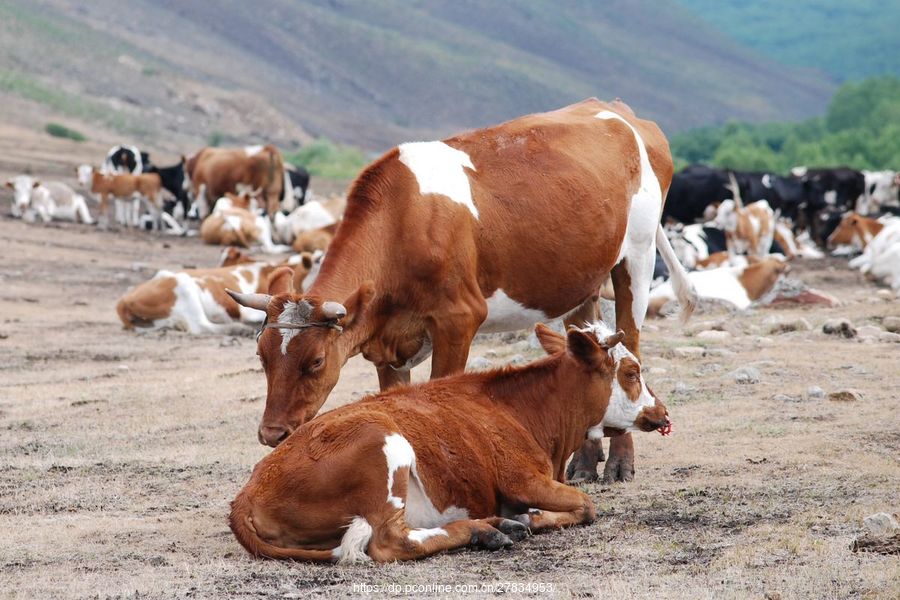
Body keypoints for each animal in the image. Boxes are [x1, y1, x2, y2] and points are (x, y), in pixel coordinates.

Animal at [227, 98, 696, 490]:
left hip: (636, 256)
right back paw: (583, 463)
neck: (403, 222)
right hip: (580, 281)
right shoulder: (387, 345)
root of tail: (619, 110)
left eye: (316, 361)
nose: (272, 433)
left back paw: (619, 463)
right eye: (262, 356)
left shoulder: (458, 319)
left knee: (629, 341)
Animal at [229, 310, 672, 564]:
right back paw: (483, 531)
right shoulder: (523, 479)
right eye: (632, 372)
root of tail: (245, 494)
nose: (663, 413)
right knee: (390, 543)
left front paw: (519, 518)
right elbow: (587, 505)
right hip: (386, 450)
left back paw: (495, 525)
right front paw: (531, 517)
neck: (525, 410)